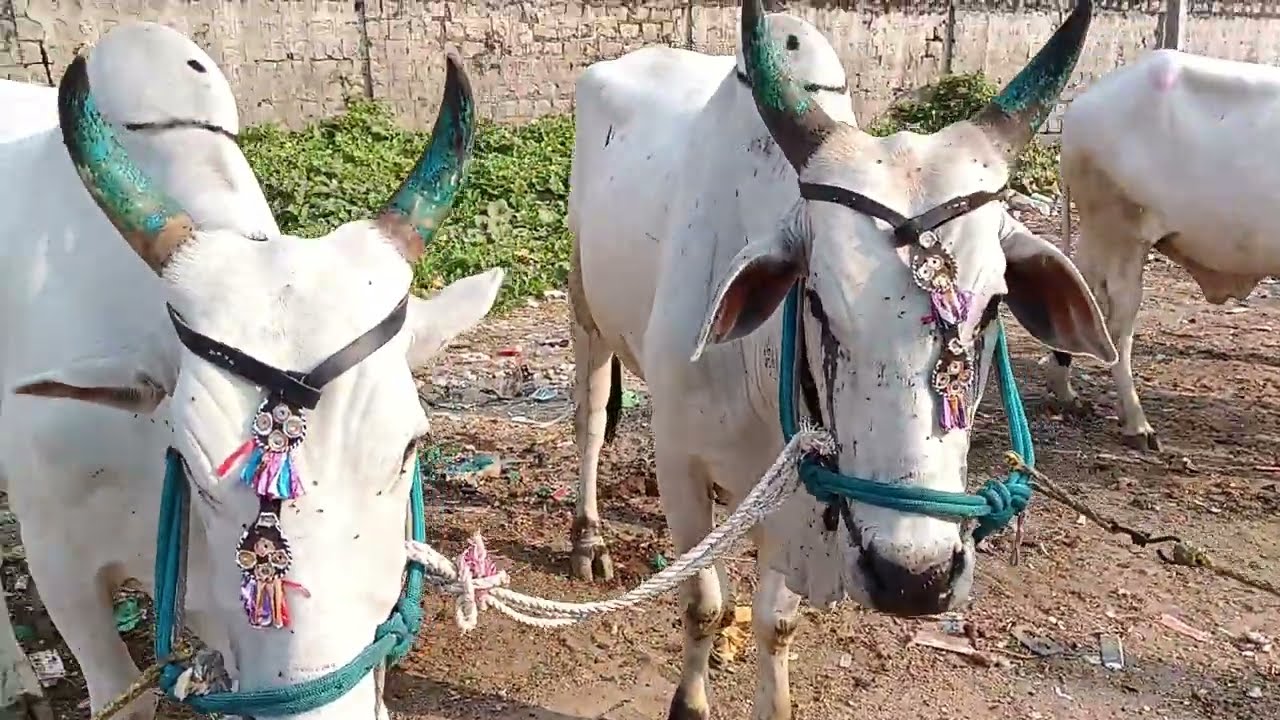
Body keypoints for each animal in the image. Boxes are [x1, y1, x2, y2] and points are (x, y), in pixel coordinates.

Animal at [566, 0, 1115, 718]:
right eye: (819, 300)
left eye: (994, 305)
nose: (914, 578)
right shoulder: (679, 463)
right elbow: (703, 604)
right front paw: (690, 700)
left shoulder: (804, 490)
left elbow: (776, 622)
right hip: (584, 307)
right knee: (590, 421)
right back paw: (587, 537)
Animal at [1047, 48, 1280, 452]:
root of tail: (1080, 108)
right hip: (1122, 237)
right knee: (1118, 329)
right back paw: (1137, 424)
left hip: (1102, 238)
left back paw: (1067, 393)